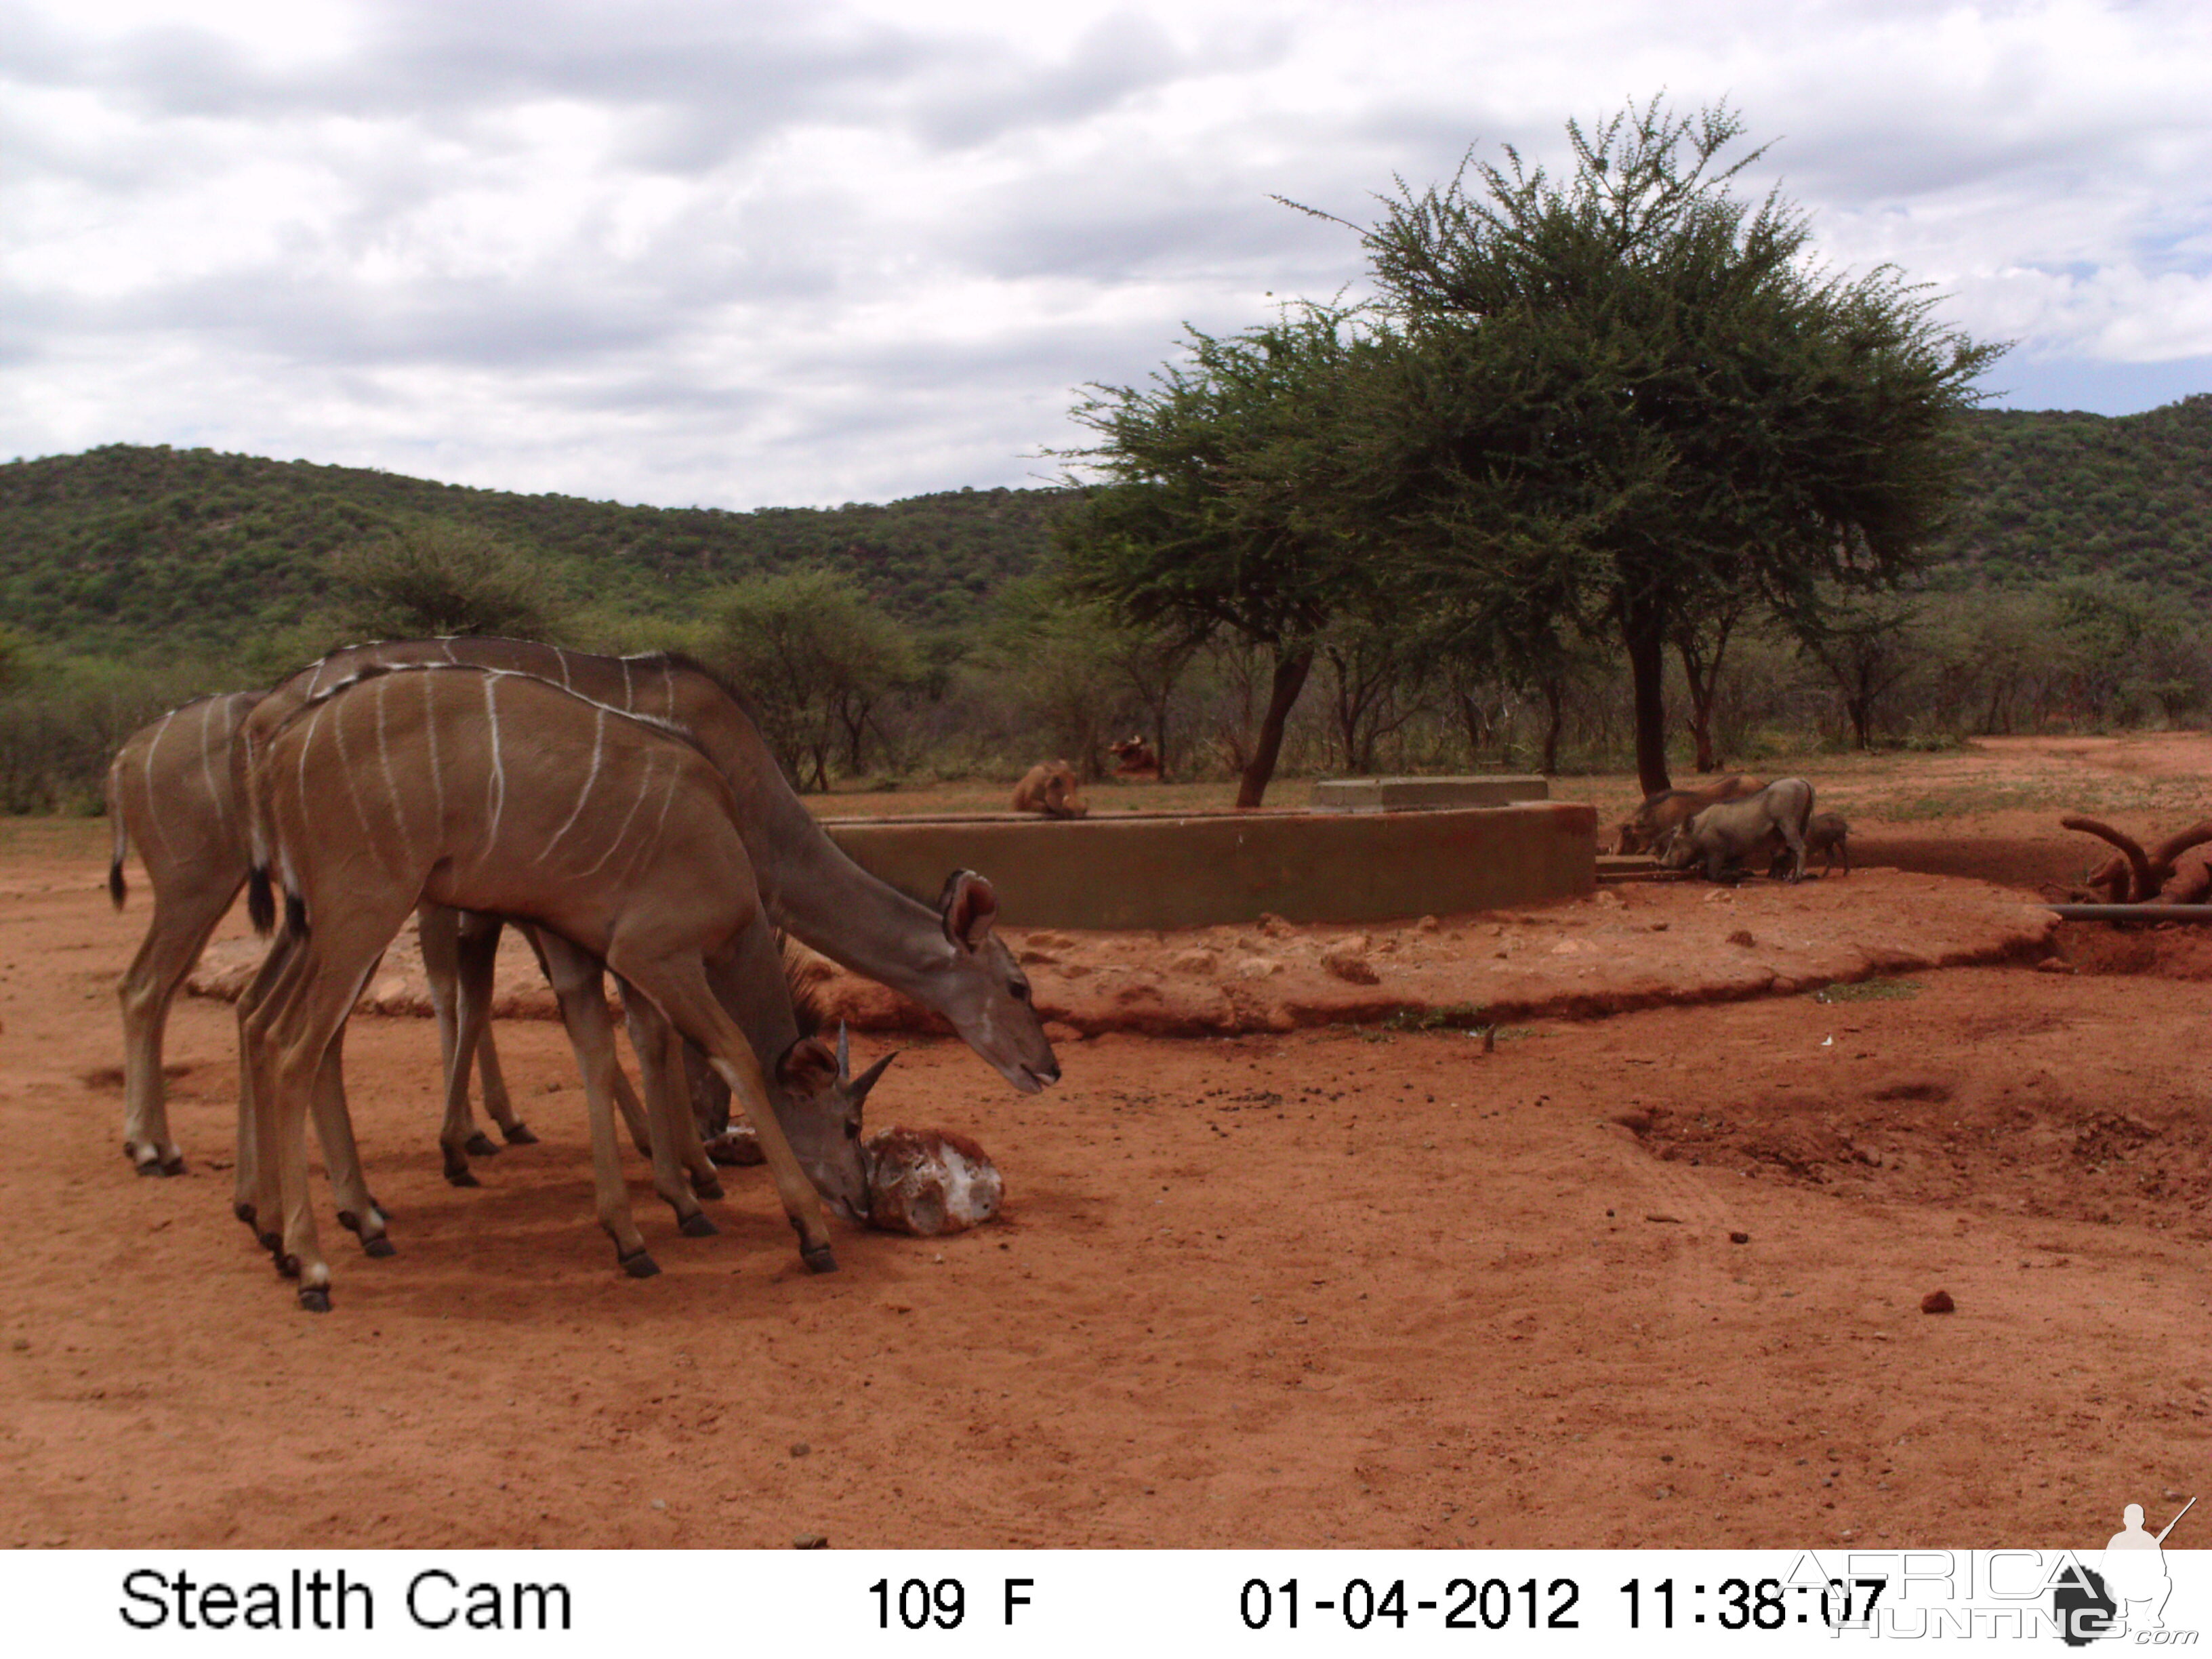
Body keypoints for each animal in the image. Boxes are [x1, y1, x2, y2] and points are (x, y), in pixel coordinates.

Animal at [242, 668, 858, 1309]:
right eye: (849, 1123)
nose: (860, 1202)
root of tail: (278, 750)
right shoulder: (656, 954)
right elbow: (732, 1054)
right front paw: (808, 1229)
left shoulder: (587, 953)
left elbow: (615, 1053)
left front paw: (648, 1223)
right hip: (363, 918)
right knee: (293, 1052)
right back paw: (312, 1264)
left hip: (333, 931)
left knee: (279, 1031)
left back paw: (332, 1228)